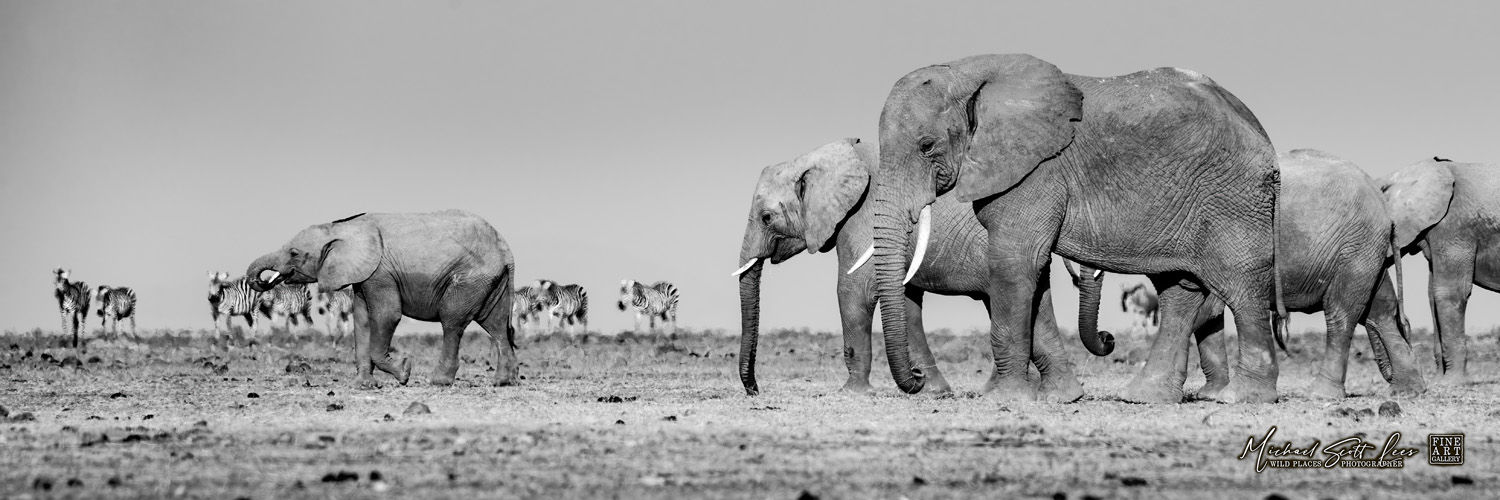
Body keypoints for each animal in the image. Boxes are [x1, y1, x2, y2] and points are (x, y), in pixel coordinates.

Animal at [246, 210, 518, 388]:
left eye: (294, 253)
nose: (264, 281)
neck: (340, 228)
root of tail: (506, 251)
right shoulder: (362, 275)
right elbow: (363, 321)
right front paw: (364, 385)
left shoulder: (380, 273)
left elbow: (387, 315)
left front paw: (405, 373)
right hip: (491, 282)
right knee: (495, 324)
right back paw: (503, 382)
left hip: (470, 278)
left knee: (452, 322)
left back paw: (439, 381)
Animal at [733, 138, 1088, 399]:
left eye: (766, 217)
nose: (755, 390)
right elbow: (905, 300)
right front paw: (933, 391)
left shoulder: (861, 219)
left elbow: (853, 291)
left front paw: (852, 393)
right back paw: (1062, 396)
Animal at [869, 54, 1285, 403]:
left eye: (926, 145)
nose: (917, 378)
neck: (967, 72)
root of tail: (1261, 132)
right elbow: (1034, 272)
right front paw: (1060, 398)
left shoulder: (1036, 171)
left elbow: (1015, 263)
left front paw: (1005, 399)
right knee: (1178, 290)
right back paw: (1143, 397)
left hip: (1233, 200)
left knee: (1242, 287)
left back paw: (1242, 398)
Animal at [1073, 150, 1428, 400]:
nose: (1108, 338)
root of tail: (1384, 206)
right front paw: (1209, 395)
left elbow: (1205, 312)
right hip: (1364, 252)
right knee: (1379, 311)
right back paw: (1407, 390)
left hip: (1355, 246)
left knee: (1342, 313)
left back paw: (1324, 394)